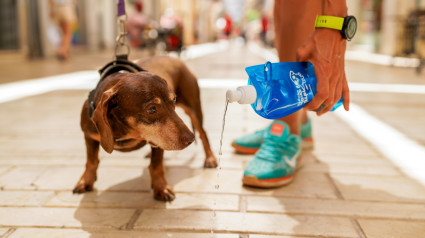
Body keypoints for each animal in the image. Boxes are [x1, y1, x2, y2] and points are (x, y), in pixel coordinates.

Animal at [73, 56, 217, 201]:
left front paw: (161, 188)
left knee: (203, 134)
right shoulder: (89, 136)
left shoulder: (159, 141)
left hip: (194, 110)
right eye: (152, 109)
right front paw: (85, 181)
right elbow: (91, 161)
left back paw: (210, 159)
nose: (190, 139)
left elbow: (156, 166)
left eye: (174, 100)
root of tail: (174, 57)